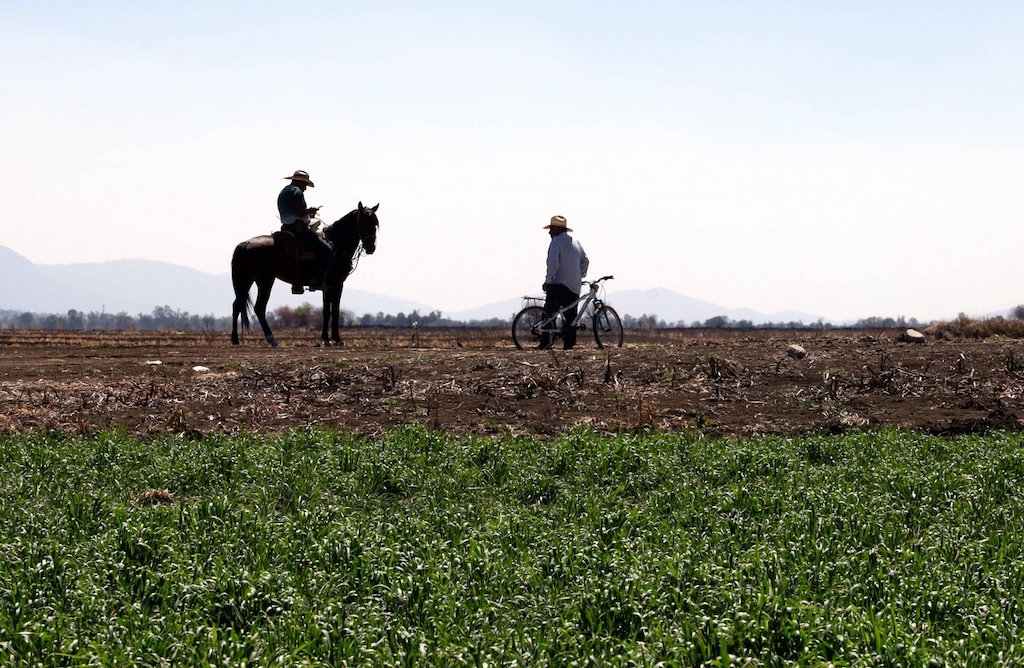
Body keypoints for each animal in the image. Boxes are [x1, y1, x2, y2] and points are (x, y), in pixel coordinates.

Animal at [230, 201, 378, 350]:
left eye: (375, 224)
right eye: (364, 222)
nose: (371, 248)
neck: (336, 246)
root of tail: (245, 244)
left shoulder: (330, 287)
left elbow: (330, 311)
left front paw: (330, 339)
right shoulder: (335, 284)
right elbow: (331, 311)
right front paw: (333, 339)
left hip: (246, 280)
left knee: (237, 304)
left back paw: (235, 339)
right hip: (265, 281)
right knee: (259, 308)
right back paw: (272, 339)